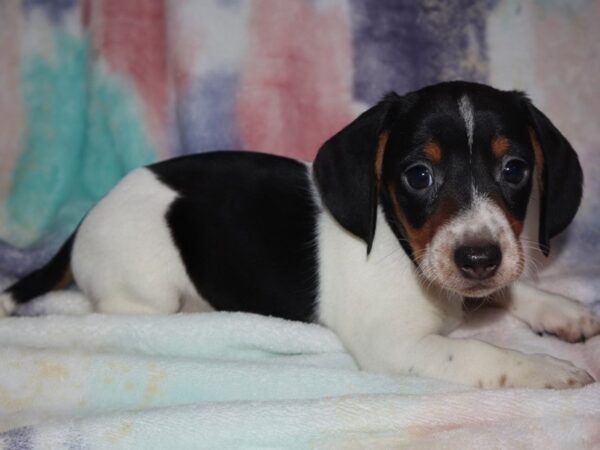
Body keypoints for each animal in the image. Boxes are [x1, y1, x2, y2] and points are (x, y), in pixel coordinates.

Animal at [1, 82, 600, 388]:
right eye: (418, 176)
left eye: (515, 169)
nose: (477, 257)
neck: (404, 250)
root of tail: (88, 217)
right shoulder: (397, 346)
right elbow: (479, 354)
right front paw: (542, 369)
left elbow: (511, 286)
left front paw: (560, 310)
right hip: (145, 291)